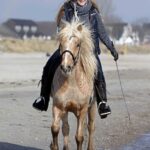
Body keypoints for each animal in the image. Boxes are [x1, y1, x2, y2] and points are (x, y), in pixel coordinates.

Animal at [50, 19, 97, 150]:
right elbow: (55, 128)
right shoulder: (58, 107)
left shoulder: (82, 110)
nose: (66, 67)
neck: (72, 84)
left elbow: (79, 137)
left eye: (77, 44)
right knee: (65, 128)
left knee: (91, 127)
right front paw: (54, 146)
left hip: (92, 107)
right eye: (61, 43)